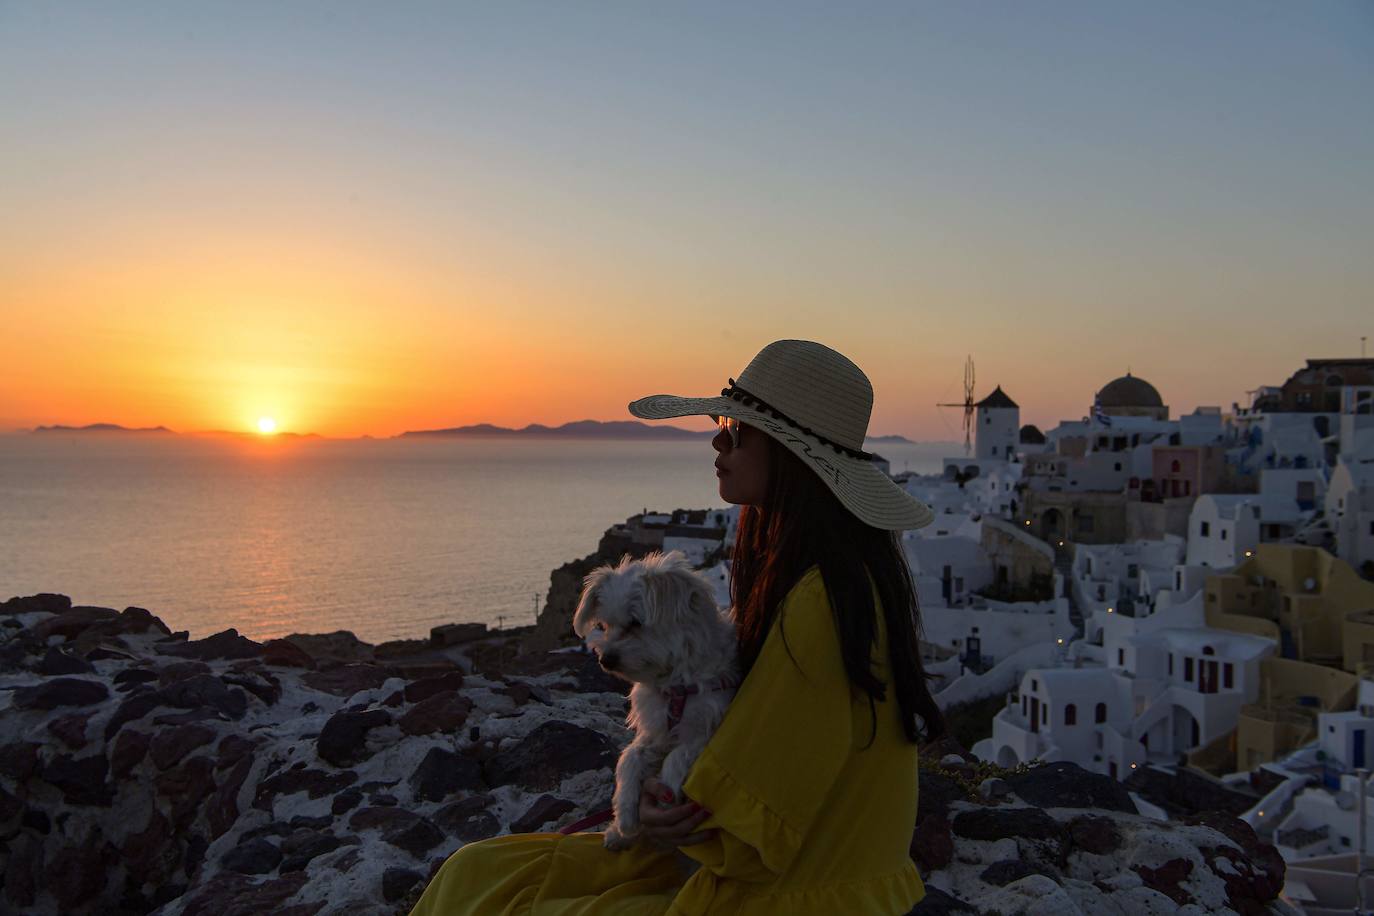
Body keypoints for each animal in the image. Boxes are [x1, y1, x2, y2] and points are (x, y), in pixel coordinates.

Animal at [571, 552, 741, 851]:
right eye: (605, 625)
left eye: (635, 623)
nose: (606, 659)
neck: (676, 685)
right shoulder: (655, 731)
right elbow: (629, 759)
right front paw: (626, 817)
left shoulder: (710, 729)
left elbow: (678, 755)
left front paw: (667, 796)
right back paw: (617, 835)